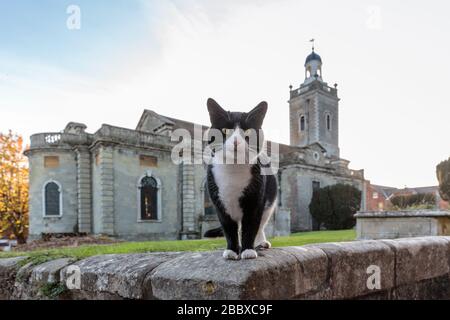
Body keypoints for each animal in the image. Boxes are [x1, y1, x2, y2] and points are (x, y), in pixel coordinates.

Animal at [207, 97, 278, 260]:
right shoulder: (220, 203)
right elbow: (229, 228)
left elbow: (251, 226)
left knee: (261, 224)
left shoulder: (256, 200)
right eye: (225, 130)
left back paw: (261, 243)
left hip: (269, 202)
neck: (234, 171)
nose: (235, 142)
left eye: (247, 131)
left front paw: (248, 250)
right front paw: (232, 250)